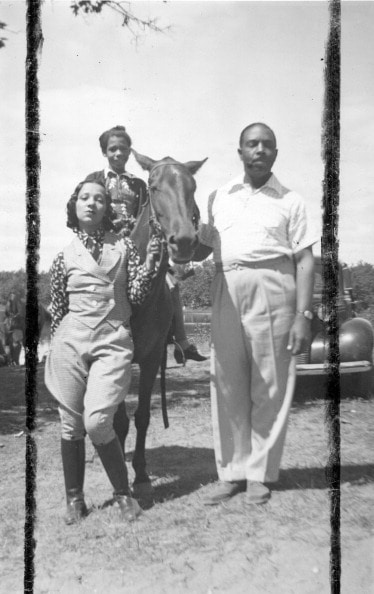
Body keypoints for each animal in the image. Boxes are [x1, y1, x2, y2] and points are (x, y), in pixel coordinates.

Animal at [114, 149, 207, 494]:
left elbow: (141, 416)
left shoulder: (152, 358)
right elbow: (118, 420)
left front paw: (140, 474)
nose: (184, 241)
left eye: (192, 187)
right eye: (153, 187)